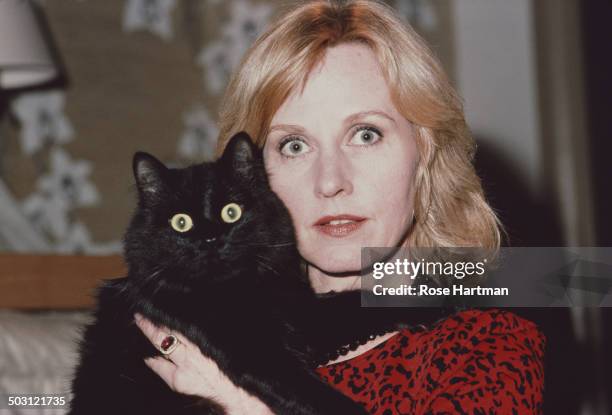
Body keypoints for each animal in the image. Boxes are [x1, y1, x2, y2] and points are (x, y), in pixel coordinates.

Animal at [70, 133, 370, 415]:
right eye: (181, 222)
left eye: (231, 212)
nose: (210, 240)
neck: (239, 290)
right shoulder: (257, 352)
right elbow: (311, 393)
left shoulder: (302, 314)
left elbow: (356, 303)